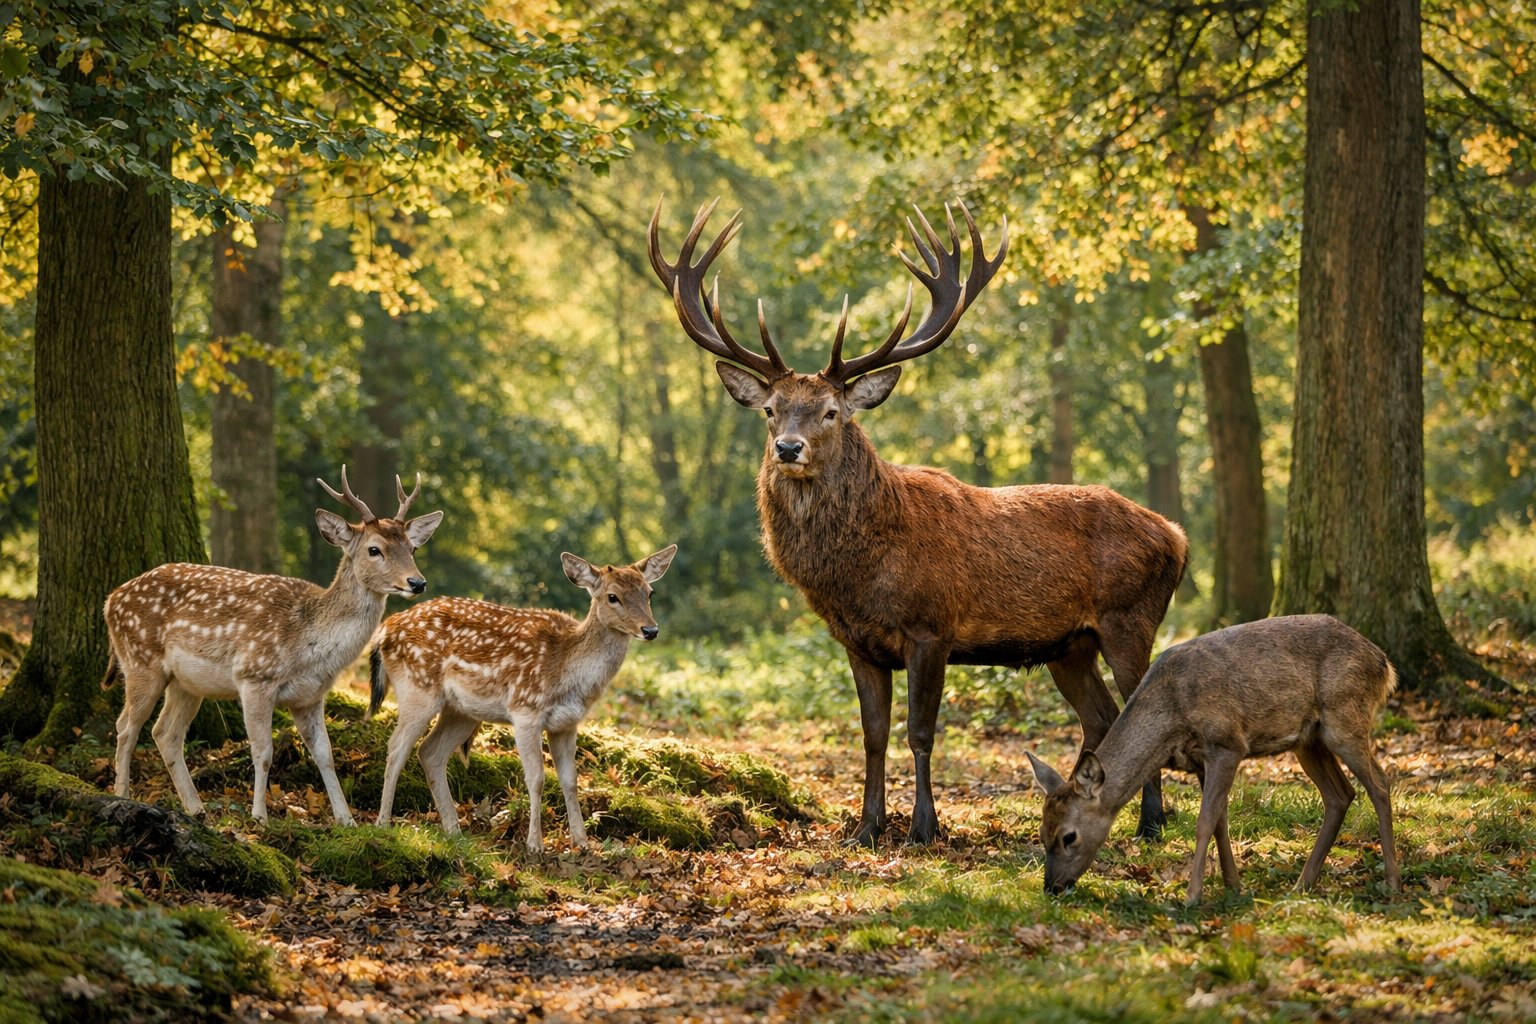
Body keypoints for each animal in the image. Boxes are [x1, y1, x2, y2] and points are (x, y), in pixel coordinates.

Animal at [106, 467, 442, 826]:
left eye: (412, 548)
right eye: (374, 550)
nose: (417, 582)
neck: (309, 646)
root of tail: (110, 600)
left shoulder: (310, 697)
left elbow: (325, 754)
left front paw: (346, 819)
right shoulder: (254, 676)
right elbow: (263, 751)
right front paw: (260, 816)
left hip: (187, 683)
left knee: (164, 733)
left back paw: (195, 807)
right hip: (140, 659)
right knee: (126, 726)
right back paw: (122, 794)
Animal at [368, 544, 677, 852]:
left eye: (649, 592)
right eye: (613, 597)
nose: (651, 630)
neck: (568, 671)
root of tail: (384, 630)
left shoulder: (567, 723)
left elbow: (571, 780)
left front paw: (582, 843)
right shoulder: (525, 709)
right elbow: (537, 778)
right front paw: (535, 845)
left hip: (462, 711)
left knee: (430, 752)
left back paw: (454, 832)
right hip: (418, 688)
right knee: (397, 747)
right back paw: (382, 824)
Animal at [648, 198, 1189, 848]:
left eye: (831, 411)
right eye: (771, 410)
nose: (788, 448)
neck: (860, 572)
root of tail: (1178, 538)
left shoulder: (932, 627)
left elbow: (920, 732)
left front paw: (924, 828)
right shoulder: (857, 642)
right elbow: (873, 735)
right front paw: (866, 827)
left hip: (1129, 617)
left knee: (1141, 710)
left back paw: (1154, 821)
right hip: (1070, 646)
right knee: (1103, 718)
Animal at [1027, 614, 1401, 904]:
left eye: (1069, 836)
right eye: (1042, 833)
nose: (1052, 887)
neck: (1172, 717)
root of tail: (1384, 663)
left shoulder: (1226, 743)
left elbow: (1205, 821)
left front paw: (1193, 896)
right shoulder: (1199, 762)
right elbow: (1221, 822)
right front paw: (1234, 886)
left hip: (1344, 718)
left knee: (1380, 783)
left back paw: (1392, 881)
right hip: (1308, 740)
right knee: (1340, 794)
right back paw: (1302, 884)